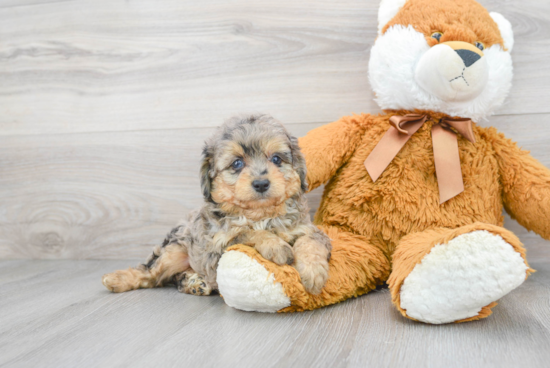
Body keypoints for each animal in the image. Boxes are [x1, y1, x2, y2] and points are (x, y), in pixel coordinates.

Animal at [103, 113, 332, 294]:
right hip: (174, 249)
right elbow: (248, 233)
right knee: (151, 274)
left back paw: (195, 283)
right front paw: (277, 247)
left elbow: (311, 242)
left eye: (276, 159)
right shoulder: (217, 247)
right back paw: (117, 279)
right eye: (237, 163)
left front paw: (313, 273)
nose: (261, 183)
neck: (260, 215)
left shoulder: (308, 229)